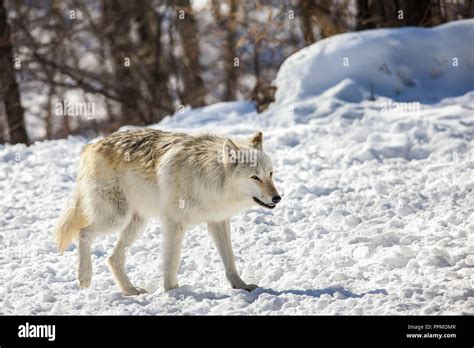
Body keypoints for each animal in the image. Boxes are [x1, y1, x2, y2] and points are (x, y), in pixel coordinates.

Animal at [53, 129, 280, 294]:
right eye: (254, 177)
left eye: (270, 174)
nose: (277, 198)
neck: (209, 177)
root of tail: (91, 146)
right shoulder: (174, 222)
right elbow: (172, 261)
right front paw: (173, 291)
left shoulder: (219, 221)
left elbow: (230, 261)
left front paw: (241, 286)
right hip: (116, 218)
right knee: (84, 233)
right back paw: (85, 277)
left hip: (136, 224)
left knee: (112, 258)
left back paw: (131, 291)